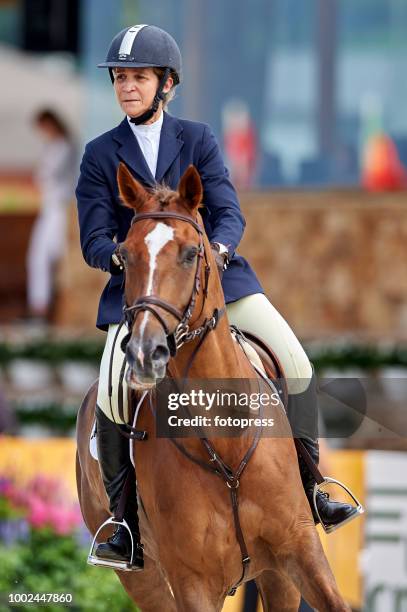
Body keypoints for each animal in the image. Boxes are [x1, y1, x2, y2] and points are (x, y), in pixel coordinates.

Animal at [76, 164, 350, 612]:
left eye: (191, 253)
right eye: (124, 256)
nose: (144, 351)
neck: (226, 439)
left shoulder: (299, 551)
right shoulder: (194, 582)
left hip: (273, 575)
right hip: (144, 580)